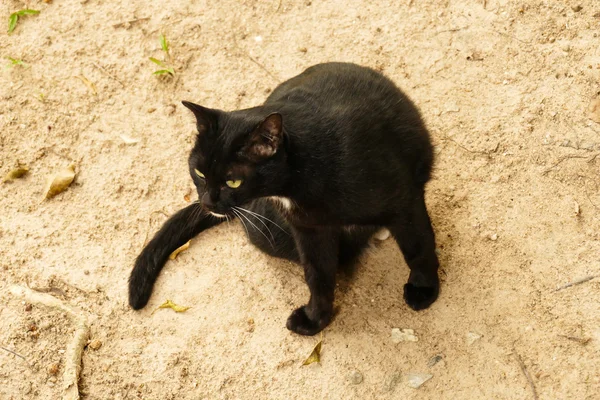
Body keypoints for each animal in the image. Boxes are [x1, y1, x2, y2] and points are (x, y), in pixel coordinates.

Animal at [130, 62, 440, 336]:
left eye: (233, 181)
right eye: (198, 172)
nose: (207, 202)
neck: (308, 170)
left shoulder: (404, 202)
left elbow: (417, 247)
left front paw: (423, 289)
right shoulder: (309, 229)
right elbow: (317, 275)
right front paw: (315, 320)